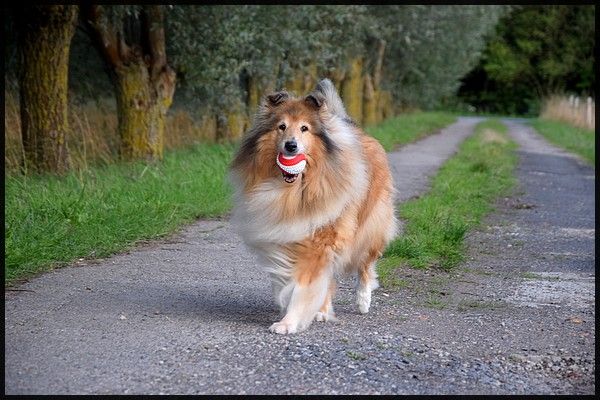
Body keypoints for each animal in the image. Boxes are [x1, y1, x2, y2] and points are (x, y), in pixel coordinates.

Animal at [231, 78, 398, 334]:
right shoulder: (287, 238)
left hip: (370, 227)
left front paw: (288, 322)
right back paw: (323, 310)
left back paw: (363, 300)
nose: (290, 146)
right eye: (281, 126)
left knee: (366, 264)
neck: (295, 189)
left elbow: (303, 288)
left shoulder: (320, 243)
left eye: (304, 128)